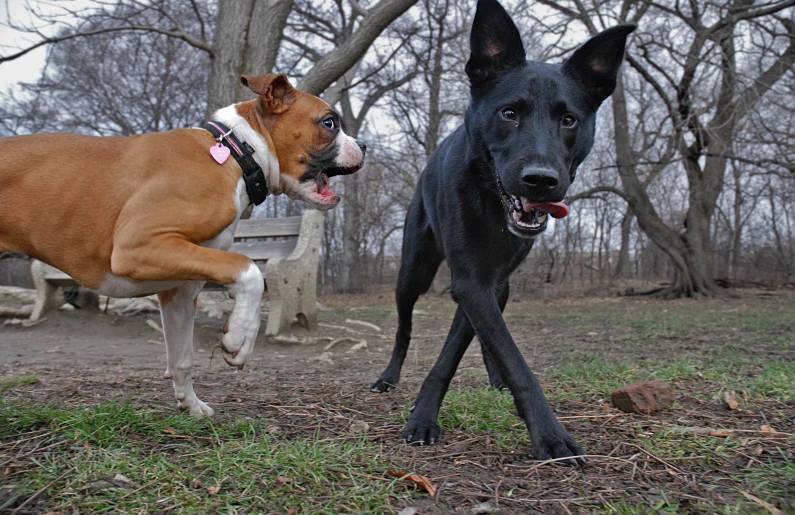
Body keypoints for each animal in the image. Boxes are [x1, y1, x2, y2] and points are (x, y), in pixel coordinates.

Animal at [0, 75, 366, 416]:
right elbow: (248, 270)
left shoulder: (180, 288)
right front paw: (239, 338)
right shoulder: (138, 247)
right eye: (329, 123)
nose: (364, 144)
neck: (237, 152)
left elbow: (182, 358)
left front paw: (190, 404)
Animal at [372, 0, 636, 466]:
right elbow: (510, 357)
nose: (541, 180)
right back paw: (389, 376)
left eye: (569, 120)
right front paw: (550, 435)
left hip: (504, 285)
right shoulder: (469, 282)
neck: (491, 203)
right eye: (509, 114)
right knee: (404, 326)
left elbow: (474, 345)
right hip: (412, 272)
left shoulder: (485, 284)